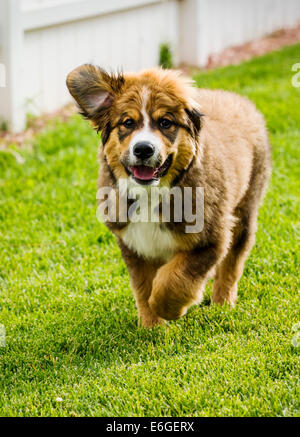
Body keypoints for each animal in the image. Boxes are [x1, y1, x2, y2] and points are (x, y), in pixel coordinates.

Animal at [66, 64, 272, 328]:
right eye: (128, 123)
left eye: (165, 122)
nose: (143, 149)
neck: (151, 194)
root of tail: (237, 98)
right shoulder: (134, 243)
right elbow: (144, 287)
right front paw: (151, 327)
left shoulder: (211, 238)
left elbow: (174, 280)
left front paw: (170, 310)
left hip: (245, 209)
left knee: (232, 262)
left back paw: (223, 304)